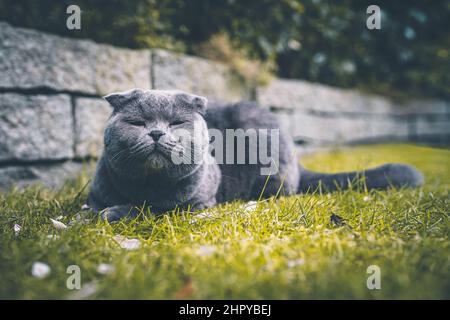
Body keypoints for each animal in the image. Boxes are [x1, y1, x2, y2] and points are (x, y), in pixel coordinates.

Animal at [87, 89, 422, 221]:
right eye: (137, 123)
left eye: (176, 123)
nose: (156, 133)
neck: (147, 185)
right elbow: (92, 206)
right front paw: (99, 212)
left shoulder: (195, 203)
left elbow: (154, 209)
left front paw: (115, 212)